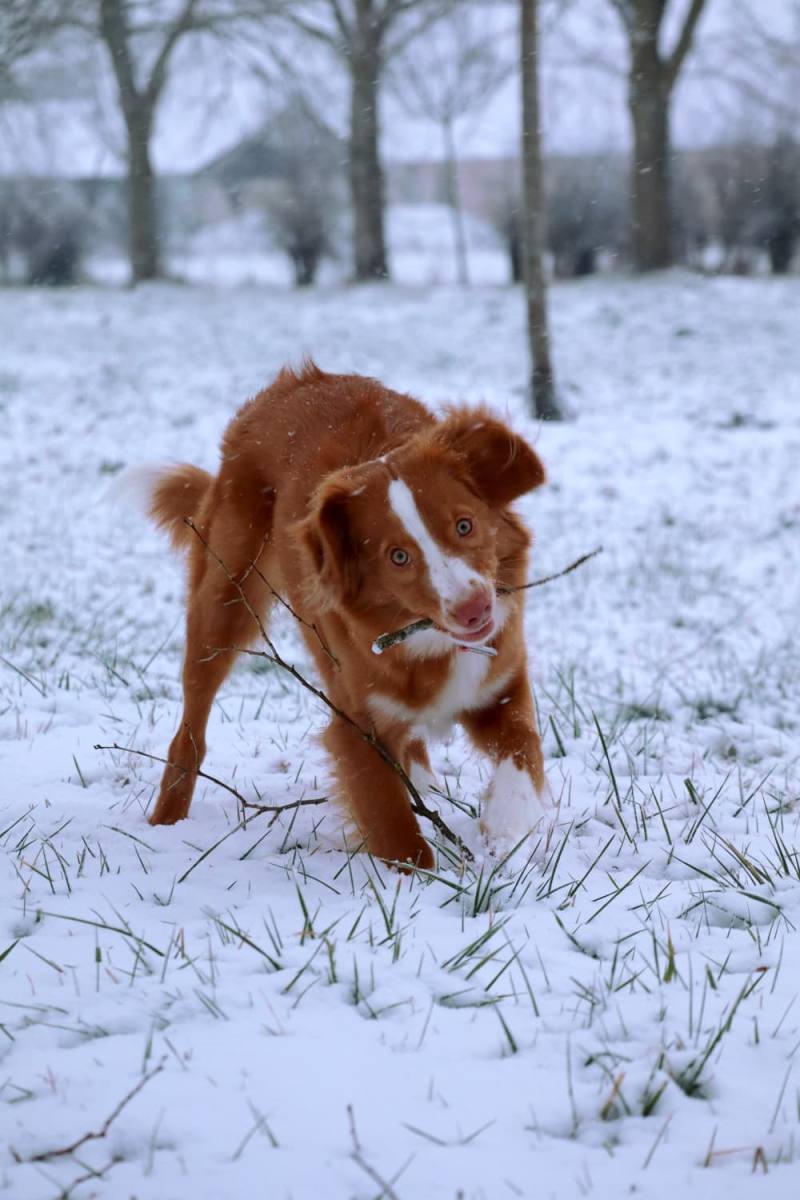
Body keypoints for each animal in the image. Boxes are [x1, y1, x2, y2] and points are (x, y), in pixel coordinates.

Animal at [141, 363, 548, 869]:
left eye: (464, 525)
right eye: (398, 557)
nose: (475, 610)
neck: (425, 640)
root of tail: (292, 381)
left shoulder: (500, 683)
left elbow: (523, 750)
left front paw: (506, 826)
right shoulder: (355, 726)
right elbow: (395, 828)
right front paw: (423, 880)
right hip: (222, 603)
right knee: (191, 725)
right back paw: (167, 820)